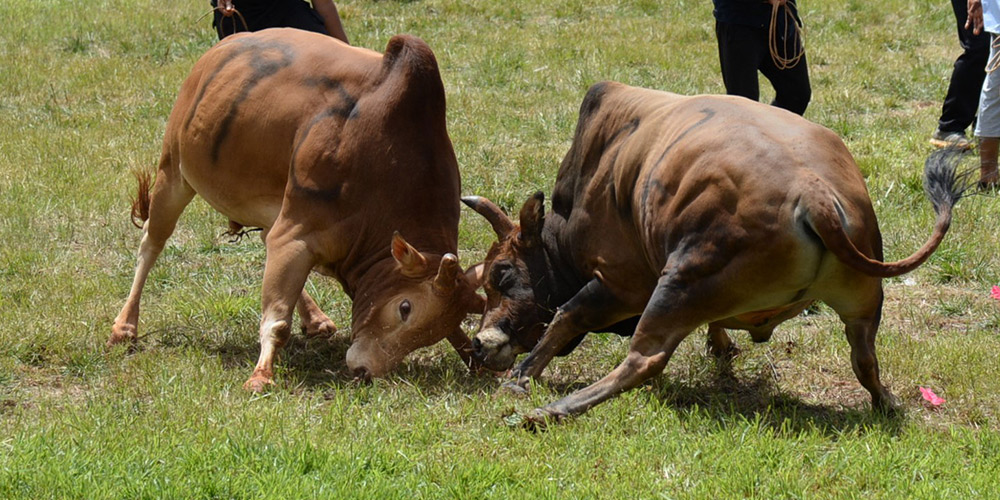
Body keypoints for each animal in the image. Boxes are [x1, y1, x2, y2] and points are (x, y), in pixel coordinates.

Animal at [109, 31, 484, 388]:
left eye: (431, 334)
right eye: (404, 307)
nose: (365, 370)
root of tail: (222, 47)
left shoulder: (300, 233)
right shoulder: (297, 232)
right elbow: (276, 319)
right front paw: (260, 377)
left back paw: (315, 319)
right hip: (174, 172)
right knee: (151, 243)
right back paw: (125, 326)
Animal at [464, 82, 972, 426]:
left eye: (502, 275)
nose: (478, 345)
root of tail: (815, 194)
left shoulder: (622, 282)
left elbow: (565, 316)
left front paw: (523, 377)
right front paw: (721, 344)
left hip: (675, 285)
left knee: (643, 360)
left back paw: (552, 411)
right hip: (863, 299)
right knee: (864, 357)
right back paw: (886, 402)